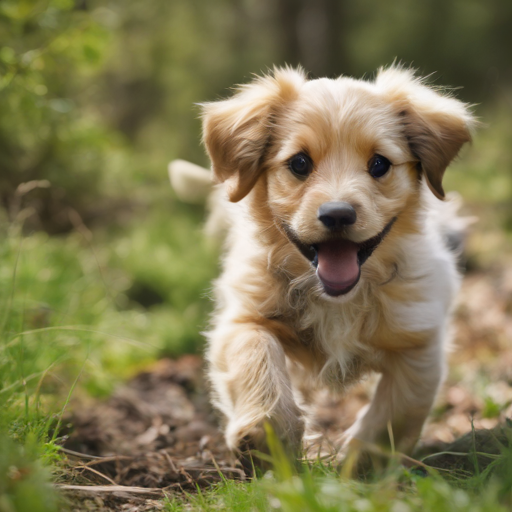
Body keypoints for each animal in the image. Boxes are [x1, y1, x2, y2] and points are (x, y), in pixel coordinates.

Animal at [169, 66, 476, 466]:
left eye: (380, 164)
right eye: (299, 163)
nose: (338, 214)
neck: (337, 299)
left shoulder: (420, 343)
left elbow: (397, 411)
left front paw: (359, 466)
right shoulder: (243, 317)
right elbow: (255, 354)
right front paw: (268, 432)